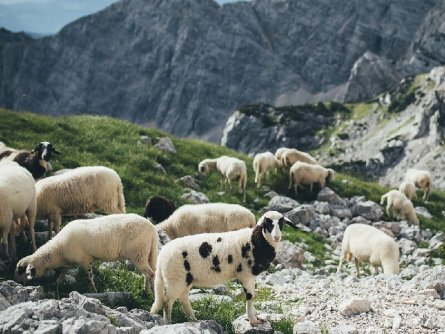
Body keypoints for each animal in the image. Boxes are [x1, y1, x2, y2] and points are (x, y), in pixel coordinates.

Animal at [15, 214, 158, 292]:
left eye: (21, 271)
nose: (17, 282)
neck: (57, 250)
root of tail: (152, 229)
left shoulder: (85, 259)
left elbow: (89, 277)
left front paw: (93, 291)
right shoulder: (70, 260)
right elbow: (64, 271)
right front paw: (57, 283)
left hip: (138, 253)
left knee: (151, 274)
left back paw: (151, 293)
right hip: (147, 254)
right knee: (148, 273)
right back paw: (146, 290)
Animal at [151, 213, 294, 324]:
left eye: (281, 222)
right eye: (267, 223)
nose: (277, 237)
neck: (255, 241)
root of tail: (162, 255)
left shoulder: (250, 276)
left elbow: (253, 295)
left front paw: (256, 316)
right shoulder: (245, 274)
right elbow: (250, 296)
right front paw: (253, 320)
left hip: (185, 279)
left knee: (183, 298)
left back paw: (193, 319)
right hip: (175, 279)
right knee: (167, 302)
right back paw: (168, 322)